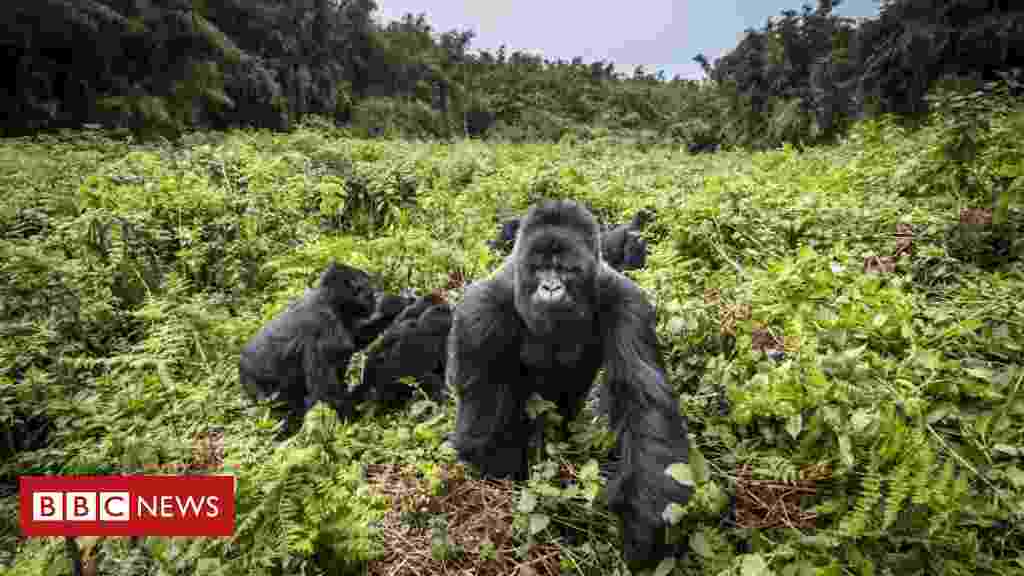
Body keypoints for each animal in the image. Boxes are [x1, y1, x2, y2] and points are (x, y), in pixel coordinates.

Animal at [239, 260, 376, 422]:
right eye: (369, 291)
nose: (374, 299)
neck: (328, 297)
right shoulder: (324, 325)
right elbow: (324, 391)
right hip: (257, 385)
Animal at [446, 198, 688, 569]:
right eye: (538, 269)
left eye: (566, 270)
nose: (550, 288)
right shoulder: (479, 312)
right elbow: (482, 431)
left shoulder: (627, 302)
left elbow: (643, 402)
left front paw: (644, 528)